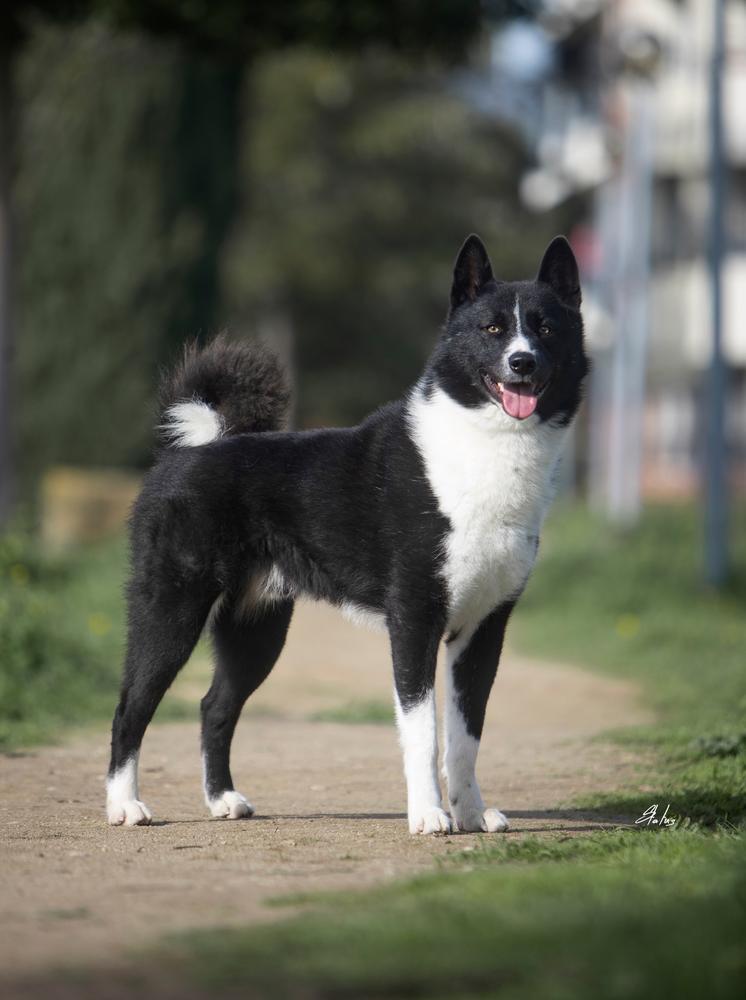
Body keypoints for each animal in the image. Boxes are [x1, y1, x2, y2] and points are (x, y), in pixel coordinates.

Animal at [104, 234, 588, 836]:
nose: (522, 361)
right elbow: (423, 733)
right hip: (171, 609)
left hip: (257, 630)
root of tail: (188, 449)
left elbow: (466, 736)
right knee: (131, 707)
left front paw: (472, 814)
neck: (483, 445)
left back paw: (223, 799)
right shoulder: (415, 621)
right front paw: (430, 815)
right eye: (493, 329)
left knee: (214, 707)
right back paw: (124, 805)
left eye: (545, 328)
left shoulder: (483, 629)